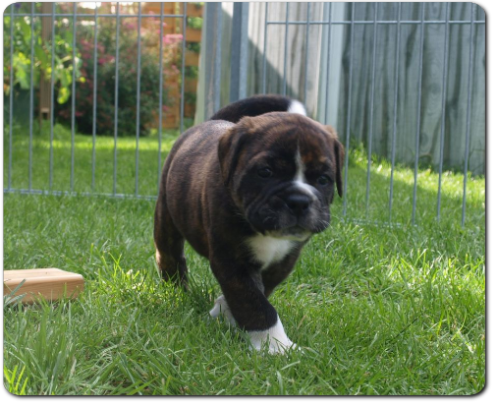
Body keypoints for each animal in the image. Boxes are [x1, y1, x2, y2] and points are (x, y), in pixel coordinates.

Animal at [153, 95, 342, 354]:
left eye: (324, 179)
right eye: (265, 172)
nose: (298, 200)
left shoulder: (284, 260)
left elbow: (258, 291)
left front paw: (225, 311)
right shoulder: (232, 259)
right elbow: (255, 302)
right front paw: (276, 346)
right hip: (167, 216)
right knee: (169, 254)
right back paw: (175, 288)